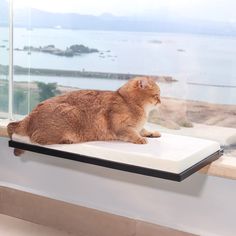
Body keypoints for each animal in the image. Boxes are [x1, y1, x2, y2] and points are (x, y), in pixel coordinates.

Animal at [8, 76, 161, 156]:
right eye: (156, 95)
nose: (160, 101)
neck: (128, 101)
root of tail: (29, 116)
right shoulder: (121, 127)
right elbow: (132, 133)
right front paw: (140, 138)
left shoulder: (138, 126)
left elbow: (143, 129)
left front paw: (152, 133)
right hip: (70, 113)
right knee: (37, 139)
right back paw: (67, 140)